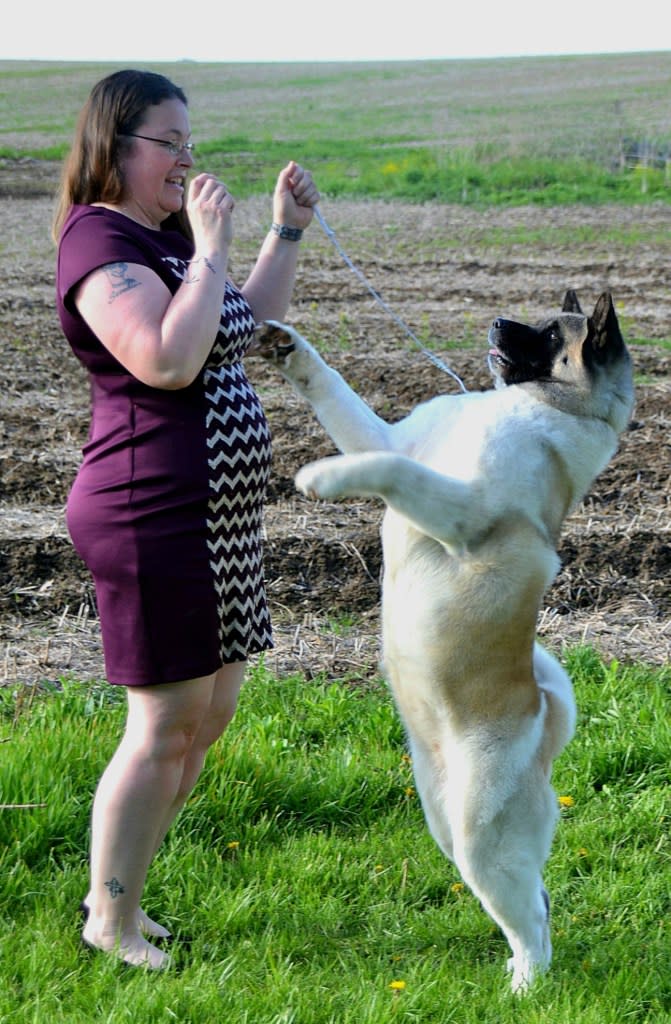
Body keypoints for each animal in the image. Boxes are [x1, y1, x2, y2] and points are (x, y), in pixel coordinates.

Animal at [253, 290, 635, 991]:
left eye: (550, 333)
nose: (497, 322)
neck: (539, 408)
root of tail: (545, 720)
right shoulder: (388, 435)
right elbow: (339, 397)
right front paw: (284, 344)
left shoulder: (465, 510)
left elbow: (390, 468)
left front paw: (323, 476)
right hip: (445, 823)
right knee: (537, 901)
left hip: (480, 834)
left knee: (532, 921)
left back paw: (524, 989)